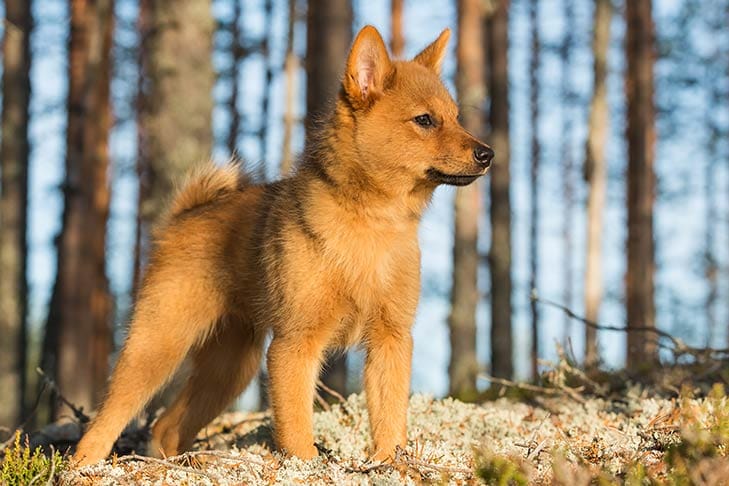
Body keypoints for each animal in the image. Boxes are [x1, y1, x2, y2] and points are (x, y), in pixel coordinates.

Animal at [74, 25, 492, 468]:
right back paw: (84, 466)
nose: (488, 153)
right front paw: (306, 465)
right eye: (425, 120)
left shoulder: (390, 340)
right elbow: (296, 428)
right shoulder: (295, 345)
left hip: (230, 369)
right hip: (157, 347)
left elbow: (390, 417)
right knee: (107, 419)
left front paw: (392, 463)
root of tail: (183, 217)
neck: (371, 226)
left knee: (167, 426)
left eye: (456, 118)